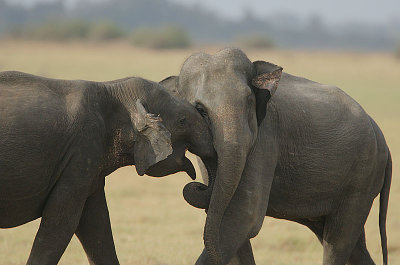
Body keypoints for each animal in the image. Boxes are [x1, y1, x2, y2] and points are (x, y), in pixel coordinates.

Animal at [0, 70, 216, 264]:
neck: (111, 88)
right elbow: (62, 221)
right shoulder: (80, 153)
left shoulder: (89, 164)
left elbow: (96, 223)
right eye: (182, 121)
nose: (199, 185)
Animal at [159, 48, 390, 264]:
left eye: (249, 101)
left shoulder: (265, 136)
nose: (198, 185)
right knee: (353, 246)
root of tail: (382, 138)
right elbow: (227, 215)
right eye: (200, 109)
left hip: (362, 177)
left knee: (338, 241)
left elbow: (244, 215)